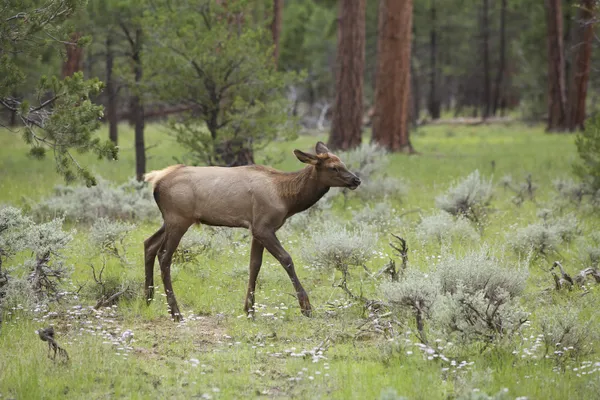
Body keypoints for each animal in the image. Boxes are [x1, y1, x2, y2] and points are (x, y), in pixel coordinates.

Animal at [144, 141, 360, 322]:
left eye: (343, 163)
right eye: (333, 167)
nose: (356, 180)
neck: (287, 198)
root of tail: (155, 181)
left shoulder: (256, 230)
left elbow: (254, 265)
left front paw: (249, 310)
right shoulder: (263, 227)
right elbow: (287, 259)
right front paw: (306, 307)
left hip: (170, 221)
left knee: (149, 244)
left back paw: (148, 298)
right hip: (178, 219)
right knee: (164, 256)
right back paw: (175, 313)